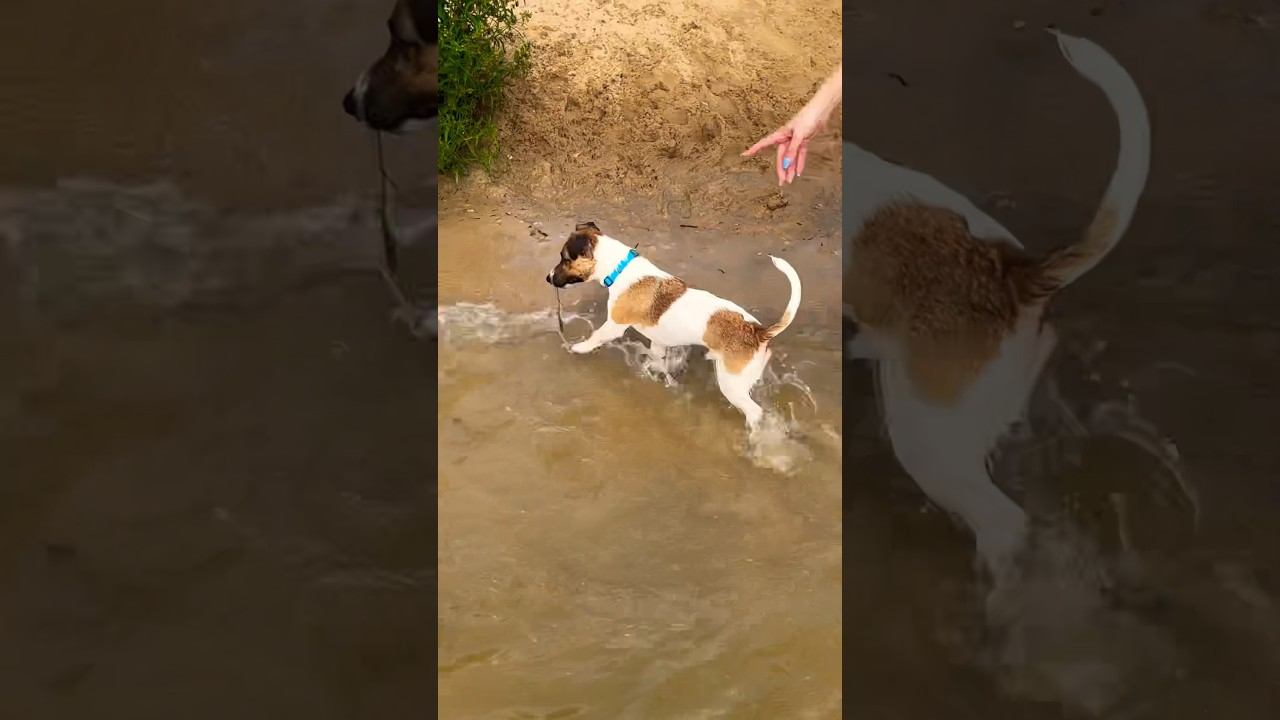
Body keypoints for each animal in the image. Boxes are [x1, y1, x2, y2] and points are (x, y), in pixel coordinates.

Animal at [547, 223, 802, 429]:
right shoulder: (658, 342)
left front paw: (579, 347)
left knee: (755, 411)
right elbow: (656, 359)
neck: (620, 269)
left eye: (565, 259)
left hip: (731, 384)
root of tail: (759, 332)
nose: (548, 278)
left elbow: (596, 336)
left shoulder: (615, 325)